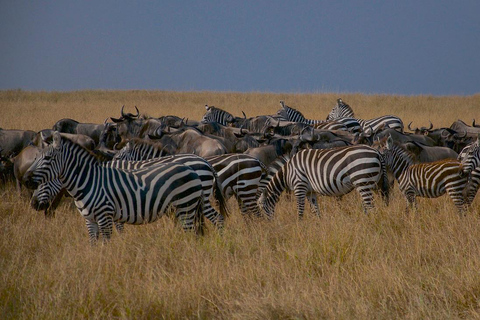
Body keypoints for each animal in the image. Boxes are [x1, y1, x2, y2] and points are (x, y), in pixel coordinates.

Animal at [23, 132, 205, 242]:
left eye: (47, 158)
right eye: (36, 158)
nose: (25, 180)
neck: (89, 181)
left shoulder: (106, 216)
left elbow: (107, 242)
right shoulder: (90, 220)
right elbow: (94, 245)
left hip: (186, 206)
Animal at [256, 146, 388, 219]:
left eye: (262, 208)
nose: (268, 225)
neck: (287, 172)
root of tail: (377, 152)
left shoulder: (299, 186)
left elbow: (300, 209)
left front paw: (299, 225)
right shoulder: (310, 192)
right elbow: (315, 210)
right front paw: (318, 225)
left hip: (362, 181)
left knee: (371, 207)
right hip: (375, 184)